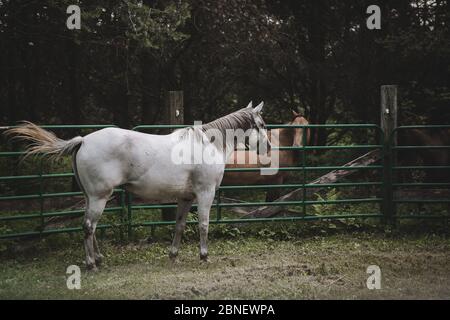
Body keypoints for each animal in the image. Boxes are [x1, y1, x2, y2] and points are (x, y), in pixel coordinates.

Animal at [7, 101, 268, 268]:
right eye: (263, 124)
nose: (267, 147)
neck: (208, 145)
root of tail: (83, 141)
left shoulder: (185, 197)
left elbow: (179, 226)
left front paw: (173, 255)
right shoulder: (205, 194)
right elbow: (203, 225)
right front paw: (204, 256)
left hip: (91, 197)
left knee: (90, 227)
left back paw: (98, 258)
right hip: (100, 197)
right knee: (89, 226)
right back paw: (91, 264)